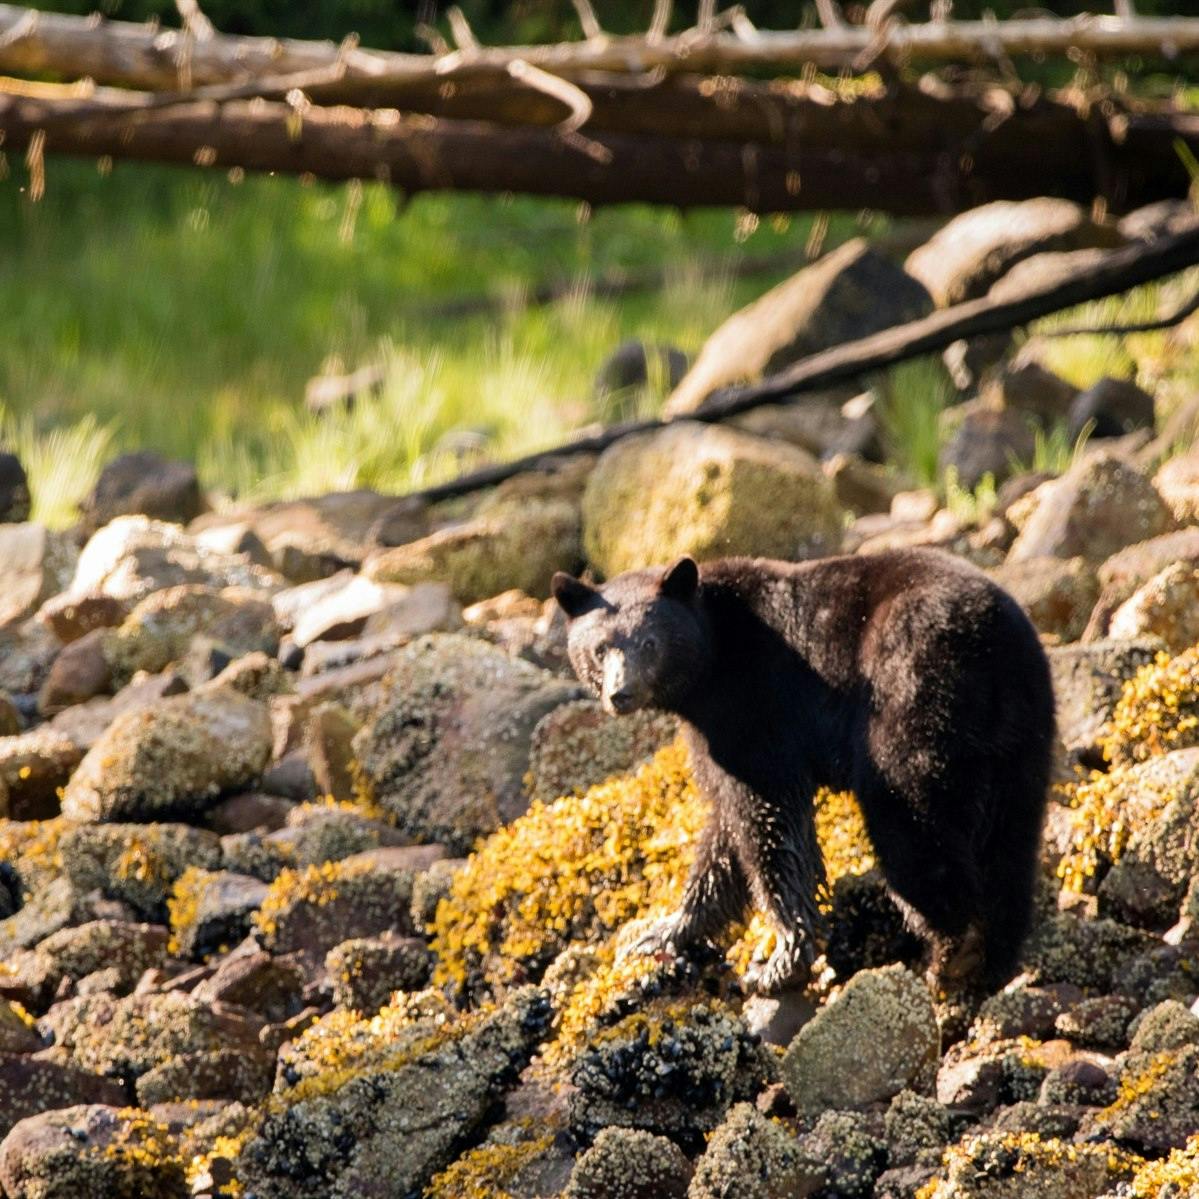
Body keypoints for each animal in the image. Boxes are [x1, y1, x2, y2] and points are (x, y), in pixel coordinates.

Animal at [551, 548, 1055, 995]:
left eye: (649, 643)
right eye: (599, 649)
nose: (621, 693)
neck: (714, 652)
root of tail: (986, 642)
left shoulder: (752, 708)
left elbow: (768, 821)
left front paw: (780, 962)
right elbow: (723, 837)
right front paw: (663, 932)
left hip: (912, 698)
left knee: (912, 823)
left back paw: (951, 953)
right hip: (1023, 735)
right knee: (1012, 841)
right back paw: (995, 961)